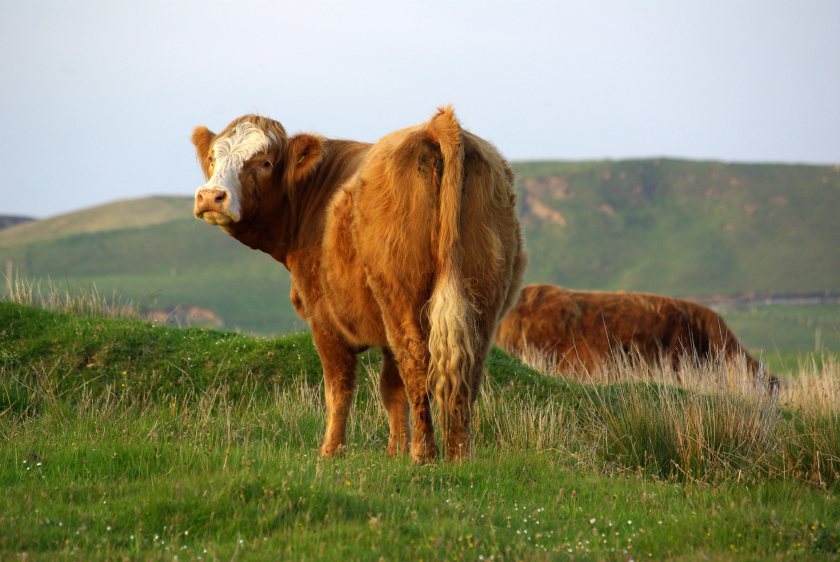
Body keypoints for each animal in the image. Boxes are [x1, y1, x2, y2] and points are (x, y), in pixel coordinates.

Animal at [194, 106, 528, 460]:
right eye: (213, 158)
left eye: (265, 162)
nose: (211, 196)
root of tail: (436, 125)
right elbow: (391, 388)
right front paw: (394, 450)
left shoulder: (323, 318)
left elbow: (339, 387)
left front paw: (331, 451)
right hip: (481, 295)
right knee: (466, 367)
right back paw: (459, 454)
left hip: (402, 296)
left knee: (416, 361)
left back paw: (424, 455)